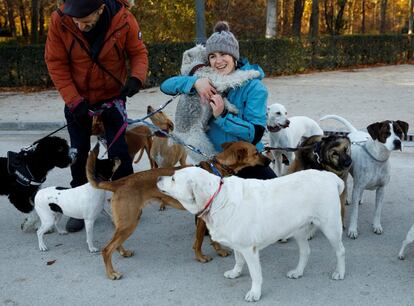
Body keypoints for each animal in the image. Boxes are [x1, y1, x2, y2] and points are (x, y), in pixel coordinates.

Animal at [85, 141, 270, 280]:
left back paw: (123, 252)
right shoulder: (201, 218)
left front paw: (219, 250)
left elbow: (212, 239)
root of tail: (119, 182)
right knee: (107, 249)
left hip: (127, 221)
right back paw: (111, 273)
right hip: (129, 223)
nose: (268, 160)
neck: (218, 168)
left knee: (115, 244)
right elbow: (198, 241)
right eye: (256, 153)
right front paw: (201, 257)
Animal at [157, 166, 344, 302]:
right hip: (297, 229)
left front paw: (255, 293)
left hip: (330, 226)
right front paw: (235, 273)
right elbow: (238, 260)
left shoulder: (250, 249)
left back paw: (340, 273)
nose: (158, 178)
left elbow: (256, 275)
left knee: (340, 251)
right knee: (306, 251)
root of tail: (330, 176)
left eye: (173, 179)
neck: (218, 199)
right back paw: (298, 272)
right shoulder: (238, 245)